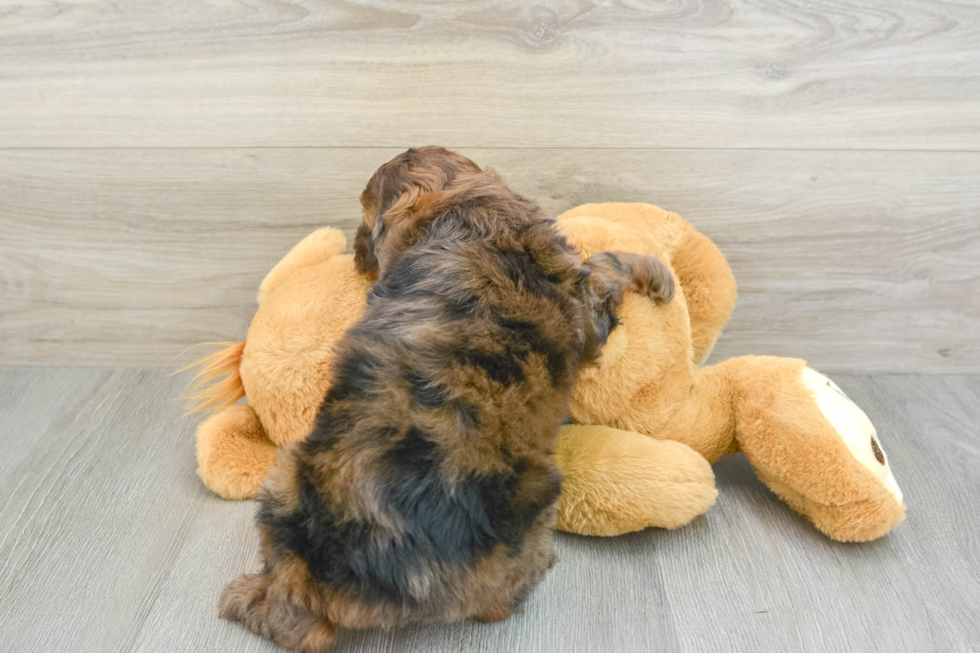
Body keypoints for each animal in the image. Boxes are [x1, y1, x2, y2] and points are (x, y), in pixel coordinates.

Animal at [217, 148, 668, 652]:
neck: (469, 218)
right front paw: (657, 273)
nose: (356, 256)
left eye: (365, 219)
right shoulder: (588, 308)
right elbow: (610, 265)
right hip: (526, 514)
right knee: (495, 604)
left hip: (284, 478)